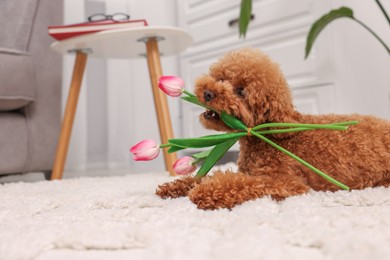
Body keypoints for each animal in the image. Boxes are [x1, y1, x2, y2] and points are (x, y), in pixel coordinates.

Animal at [155, 47, 390, 210]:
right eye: (220, 78)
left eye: (241, 91)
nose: (208, 92)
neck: (264, 136)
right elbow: (204, 175)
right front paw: (175, 186)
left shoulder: (287, 183)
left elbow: (239, 182)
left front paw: (204, 191)